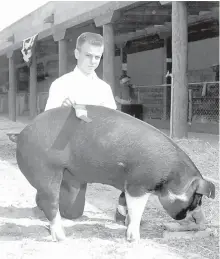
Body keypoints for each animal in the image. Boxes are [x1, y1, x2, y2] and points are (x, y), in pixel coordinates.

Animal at [14, 104, 215, 243]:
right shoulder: (139, 183)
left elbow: (124, 201)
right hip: (47, 170)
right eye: (197, 198)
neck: (171, 175)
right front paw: (134, 238)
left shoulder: (128, 182)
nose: (195, 218)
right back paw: (62, 237)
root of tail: (22, 134)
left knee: (43, 200)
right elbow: (136, 209)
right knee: (49, 202)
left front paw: (124, 221)